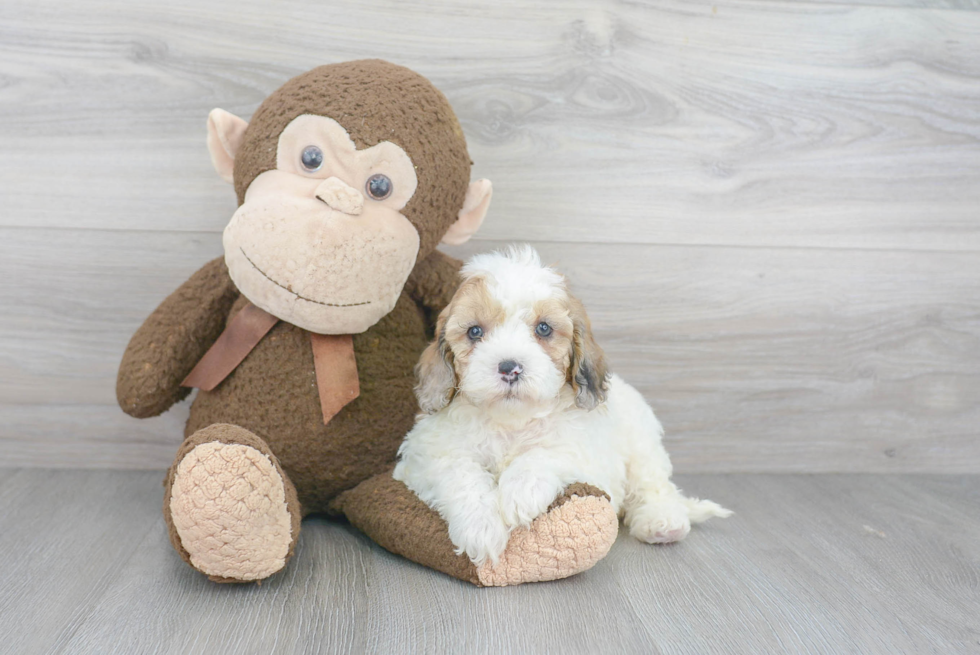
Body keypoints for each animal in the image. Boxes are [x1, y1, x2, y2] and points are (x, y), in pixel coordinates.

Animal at [392, 243, 728, 568]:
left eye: (543, 329)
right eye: (475, 331)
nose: (510, 368)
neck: (511, 421)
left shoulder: (587, 451)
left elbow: (549, 452)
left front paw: (519, 493)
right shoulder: (428, 455)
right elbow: (459, 473)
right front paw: (480, 527)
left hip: (642, 445)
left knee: (654, 486)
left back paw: (662, 522)